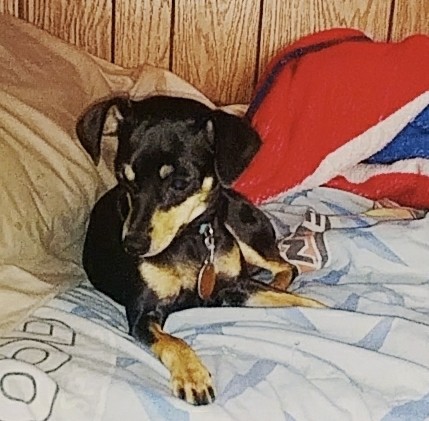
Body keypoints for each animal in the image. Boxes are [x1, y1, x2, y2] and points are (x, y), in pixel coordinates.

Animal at [77, 94, 324, 404]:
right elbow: (173, 341)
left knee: (284, 266)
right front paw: (192, 376)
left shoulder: (235, 285)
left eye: (180, 183)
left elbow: (294, 300)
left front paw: (326, 311)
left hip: (242, 231)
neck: (190, 239)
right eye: (124, 179)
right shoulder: (142, 314)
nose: (132, 246)